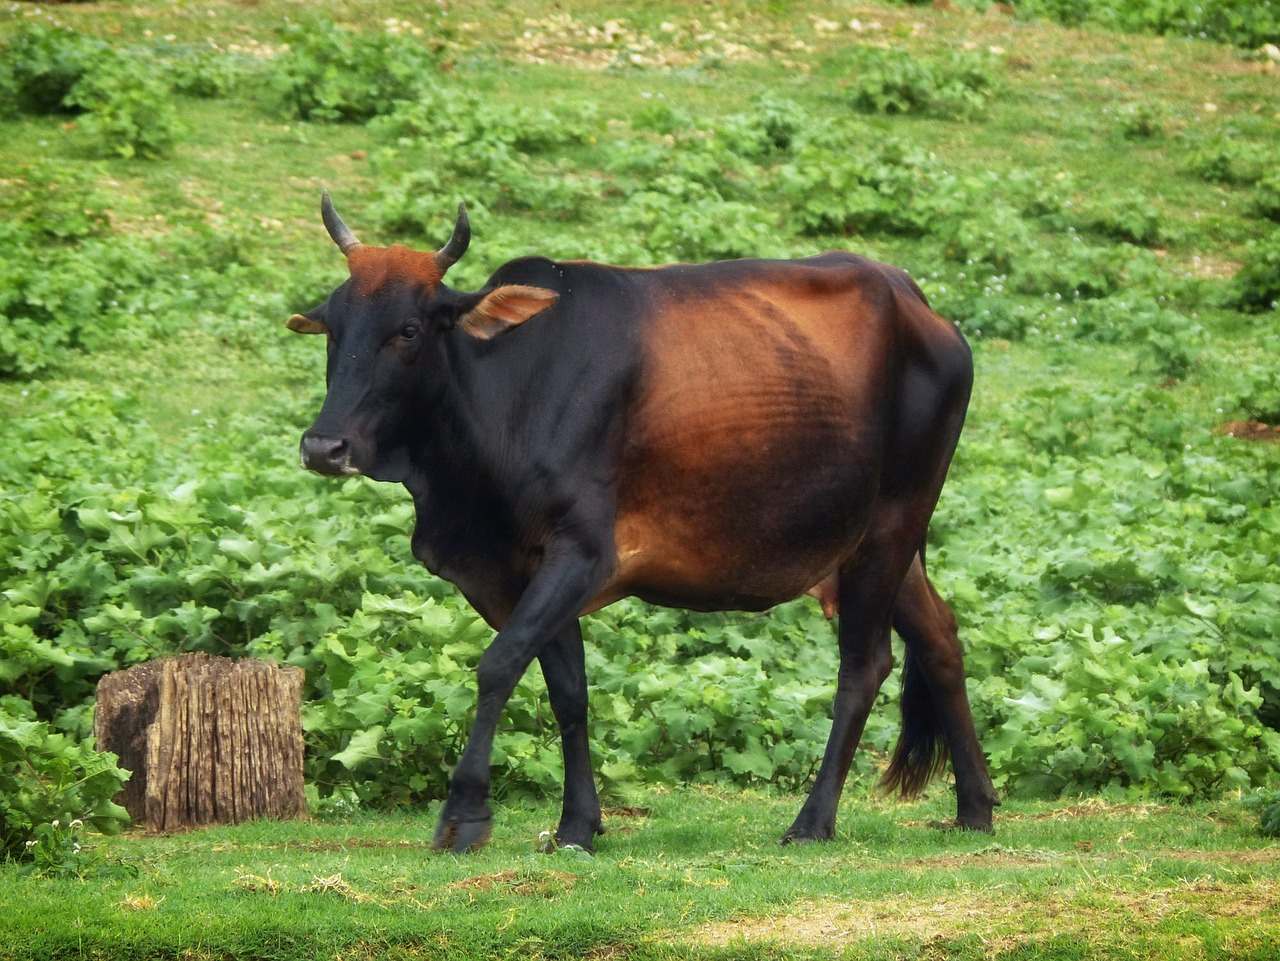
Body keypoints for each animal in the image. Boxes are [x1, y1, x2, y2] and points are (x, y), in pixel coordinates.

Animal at [288, 191, 998, 854]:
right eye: (331, 326)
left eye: (408, 329)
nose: (324, 447)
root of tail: (919, 303)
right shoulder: (521, 569)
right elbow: (568, 692)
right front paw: (577, 825)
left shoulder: (582, 554)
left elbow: (498, 664)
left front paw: (465, 814)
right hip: (877, 544)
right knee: (940, 635)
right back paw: (975, 808)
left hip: (891, 527)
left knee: (864, 664)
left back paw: (813, 820)